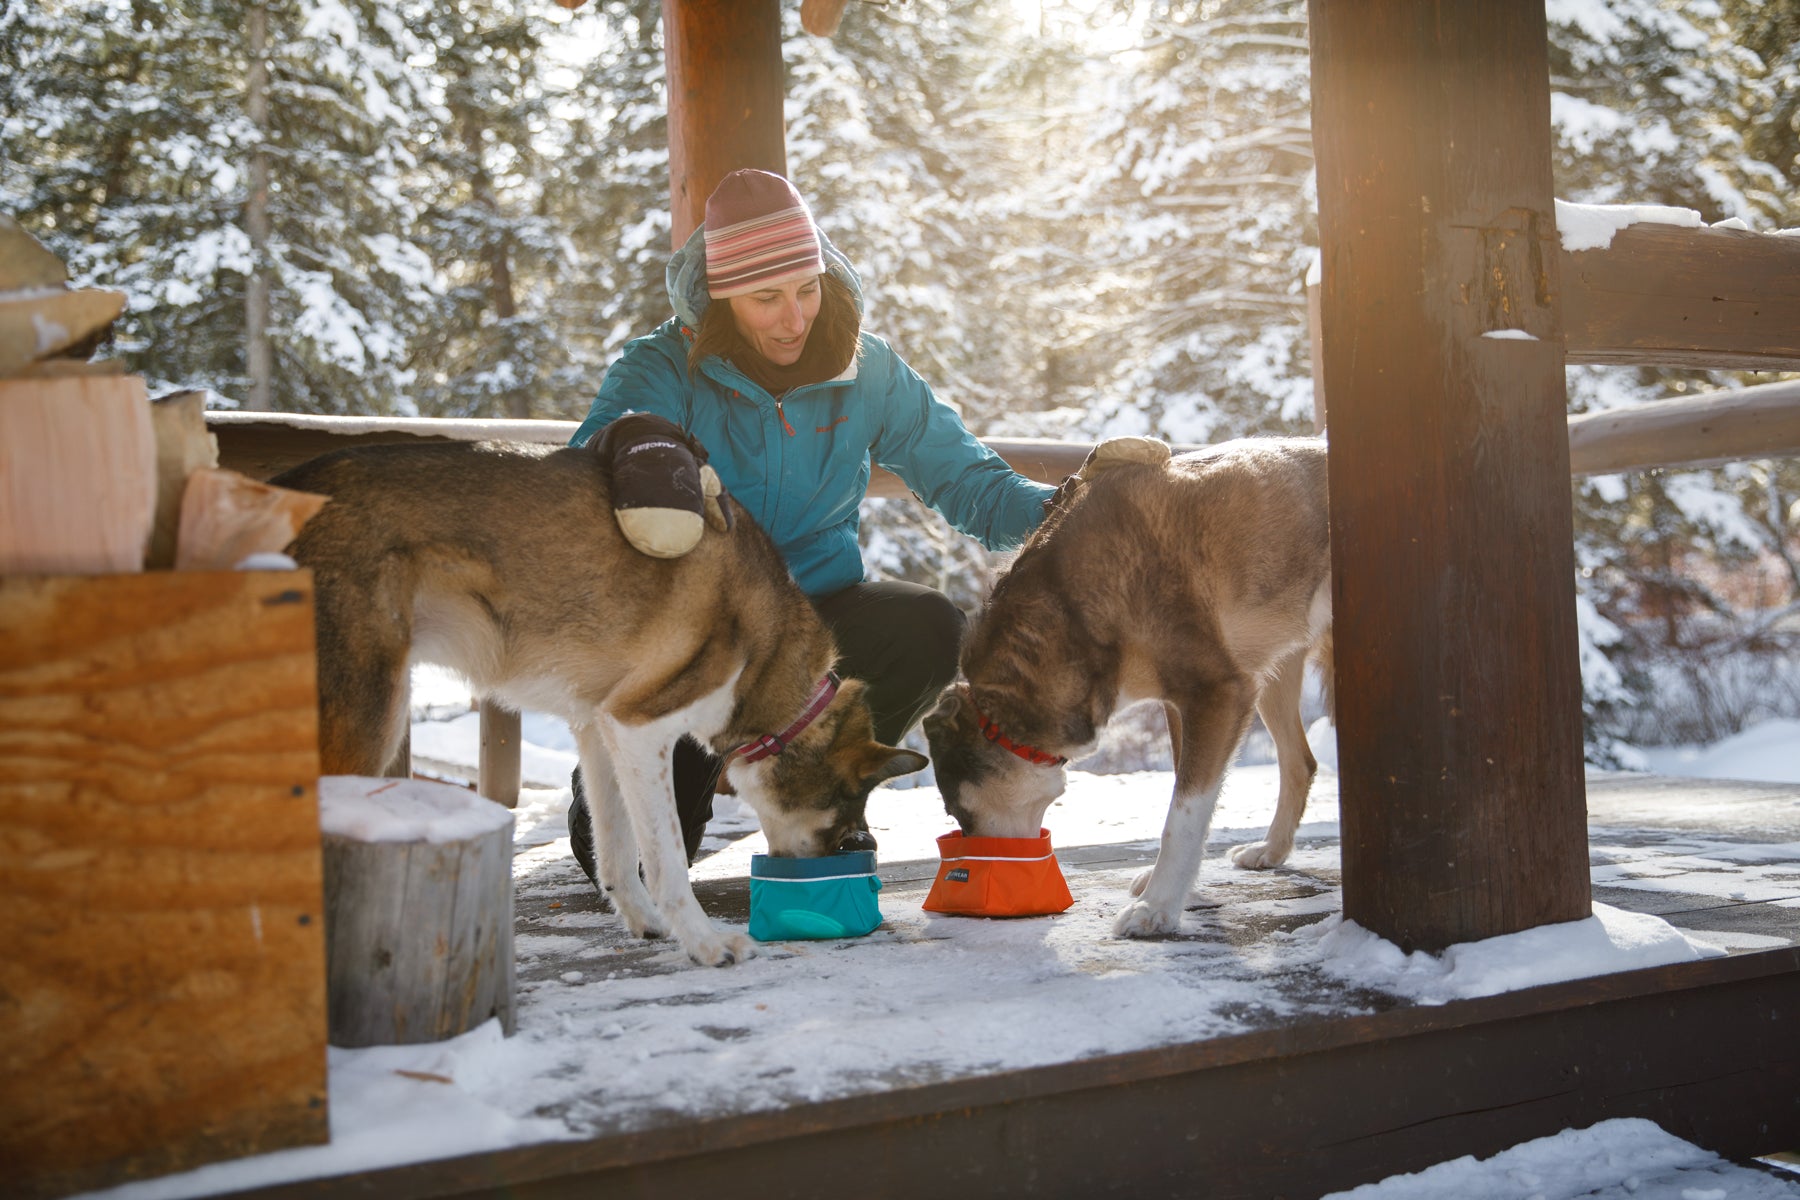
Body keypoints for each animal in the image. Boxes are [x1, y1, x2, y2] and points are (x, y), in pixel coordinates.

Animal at [284, 433, 928, 964]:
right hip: (371, 722)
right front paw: (704, 942)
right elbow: (666, 861)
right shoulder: (639, 727)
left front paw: (645, 924)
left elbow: (617, 853)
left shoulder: (601, 732)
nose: (841, 862)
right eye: (839, 817)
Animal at [928, 438, 1339, 935]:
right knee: (1300, 761)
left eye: (957, 811)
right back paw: (1271, 851)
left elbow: (1183, 815)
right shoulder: (1184, 706)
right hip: (1274, 674)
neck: (1072, 607)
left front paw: (1159, 906)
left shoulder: (1218, 694)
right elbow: (1190, 798)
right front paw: (1181, 890)